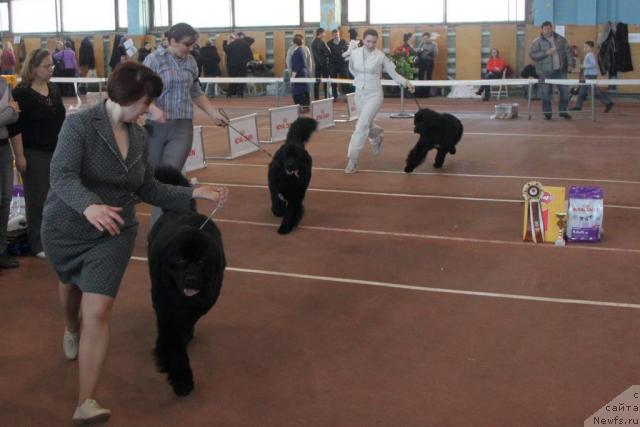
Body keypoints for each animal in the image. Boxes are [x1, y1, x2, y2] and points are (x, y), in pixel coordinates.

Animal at [146, 167, 226, 398]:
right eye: (181, 261)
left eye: (201, 262)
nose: (190, 279)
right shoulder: (167, 309)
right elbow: (173, 344)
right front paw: (180, 379)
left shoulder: (201, 304)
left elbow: (187, 325)